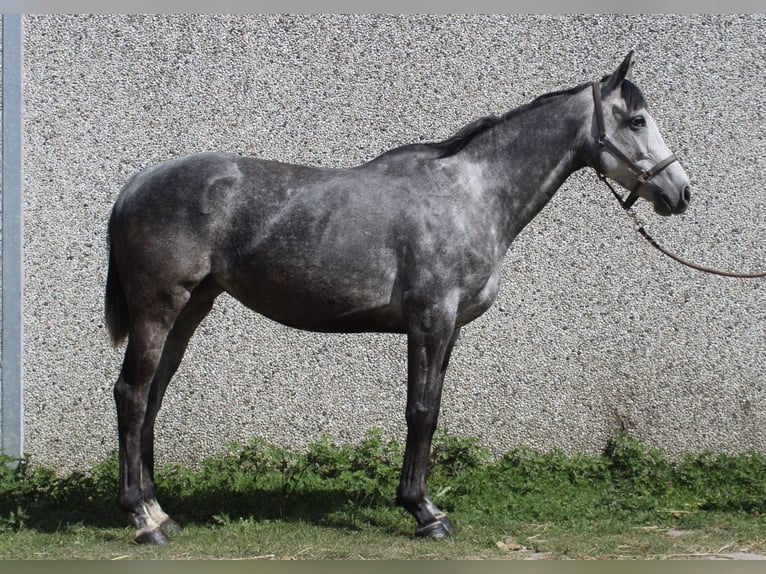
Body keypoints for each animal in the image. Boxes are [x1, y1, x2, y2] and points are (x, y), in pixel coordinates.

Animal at [105, 51, 691, 544]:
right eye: (636, 121)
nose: (680, 192)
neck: (470, 195)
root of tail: (136, 184)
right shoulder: (430, 321)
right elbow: (422, 411)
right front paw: (424, 512)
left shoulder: (449, 329)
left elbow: (430, 409)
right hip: (159, 309)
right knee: (132, 395)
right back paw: (141, 520)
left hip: (191, 309)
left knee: (153, 396)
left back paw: (161, 512)